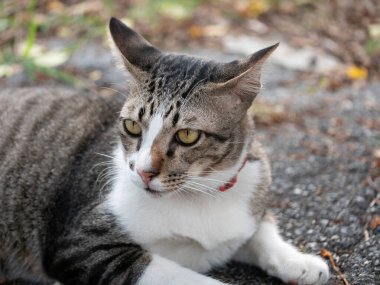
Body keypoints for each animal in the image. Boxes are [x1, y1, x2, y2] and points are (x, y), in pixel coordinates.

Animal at [0, 17, 328, 284]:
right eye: (132, 126)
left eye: (187, 135)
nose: (144, 172)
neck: (201, 193)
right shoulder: (80, 246)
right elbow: (187, 278)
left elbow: (262, 231)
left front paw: (299, 261)